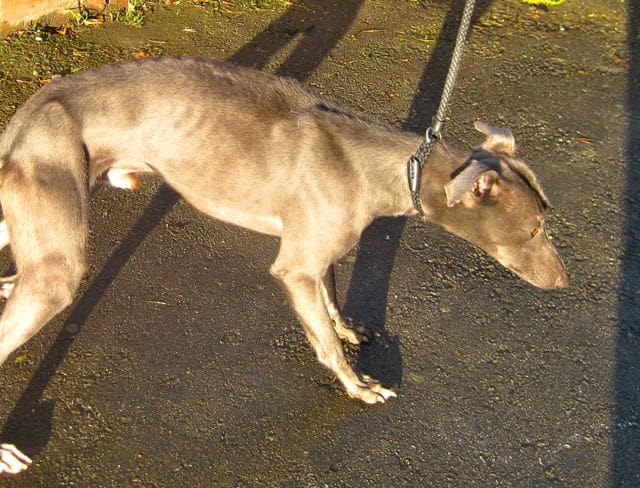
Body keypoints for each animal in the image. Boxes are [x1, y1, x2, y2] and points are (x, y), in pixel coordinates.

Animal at [0, 57, 568, 429]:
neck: (383, 166)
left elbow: (332, 303)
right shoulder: (294, 267)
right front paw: (359, 386)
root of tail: (31, 109)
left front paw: (351, 329)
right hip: (57, 260)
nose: (564, 282)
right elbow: (326, 342)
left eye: (546, 215)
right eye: (534, 228)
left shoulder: (316, 253)